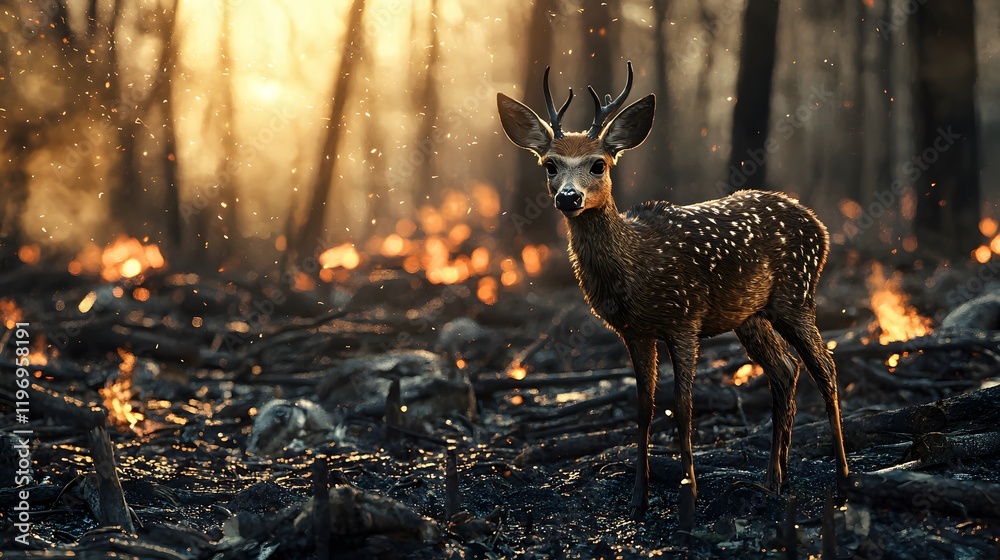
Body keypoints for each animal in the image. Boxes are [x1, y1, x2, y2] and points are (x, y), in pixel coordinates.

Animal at [497, 61, 849, 529]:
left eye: (598, 164)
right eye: (550, 164)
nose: (568, 198)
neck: (635, 266)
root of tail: (820, 226)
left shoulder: (685, 318)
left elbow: (682, 406)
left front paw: (690, 498)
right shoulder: (634, 331)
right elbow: (644, 408)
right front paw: (638, 499)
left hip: (797, 295)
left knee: (825, 367)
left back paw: (843, 480)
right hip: (750, 315)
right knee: (786, 370)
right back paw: (775, 481)